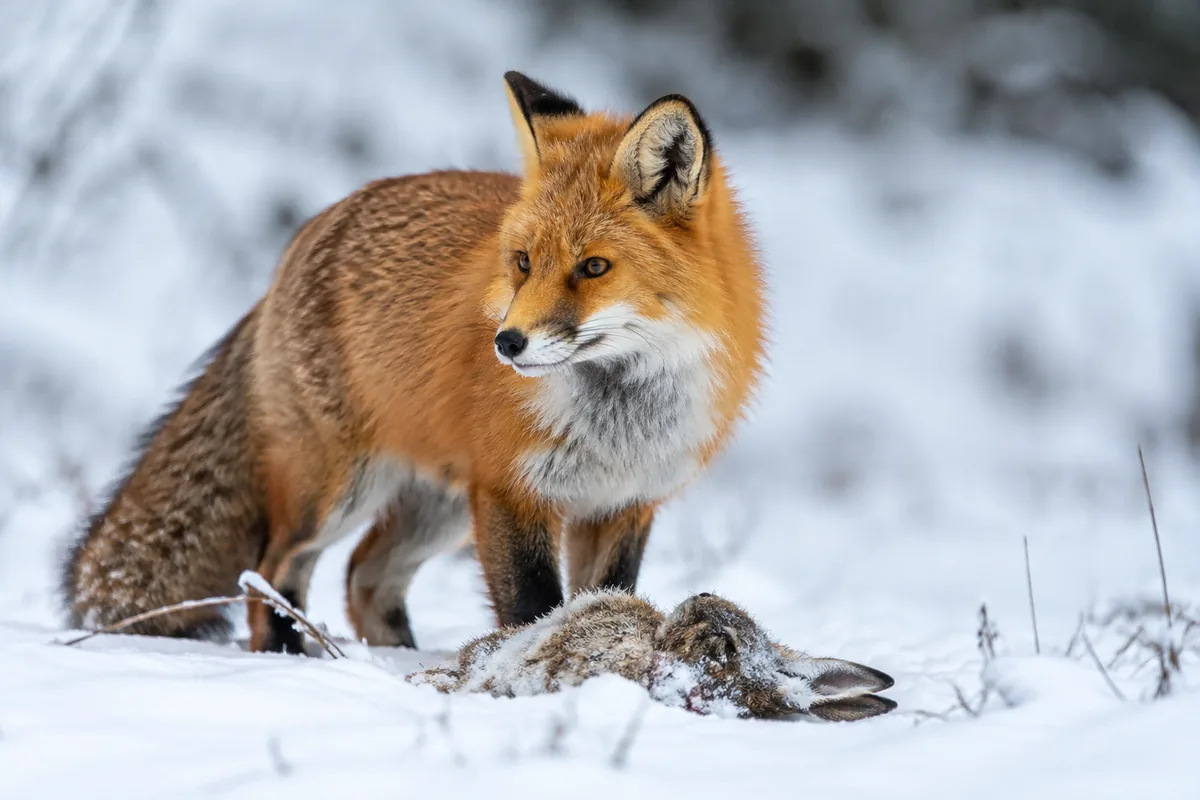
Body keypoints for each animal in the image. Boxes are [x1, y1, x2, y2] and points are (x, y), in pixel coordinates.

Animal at [62, 72, 766, 654]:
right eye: (523, 262)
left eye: (593, 267)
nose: (507, 343)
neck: (618, 420)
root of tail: (311, 233)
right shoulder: (511, 493)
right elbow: (534, 609)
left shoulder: (624, 505)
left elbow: (605, 595)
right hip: (338, 491)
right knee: (270, 571)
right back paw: (292, 660)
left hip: (439, 508)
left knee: (363, 576)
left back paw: (396, 659)